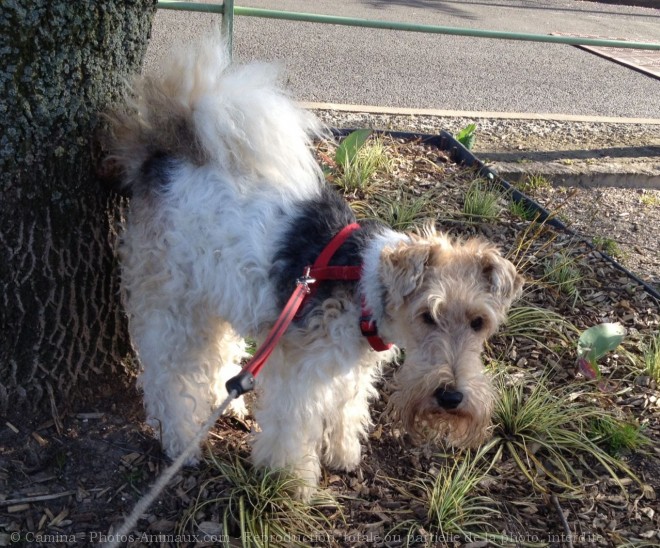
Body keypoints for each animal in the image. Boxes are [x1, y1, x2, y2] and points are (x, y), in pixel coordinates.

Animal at [107, 35, 520, 500]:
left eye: (479, 322)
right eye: (428, 316)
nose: (451, 397)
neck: (364, 284)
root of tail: (160, 159)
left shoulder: (347, 370)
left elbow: (346, 409)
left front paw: (342, 454)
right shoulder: (300, 374)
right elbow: (292, 430)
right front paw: (293, 482)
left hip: (218, 294)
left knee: (216, 354)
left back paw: (228, 400)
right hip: (174, 304)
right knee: (167, 377)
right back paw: (180, 440)